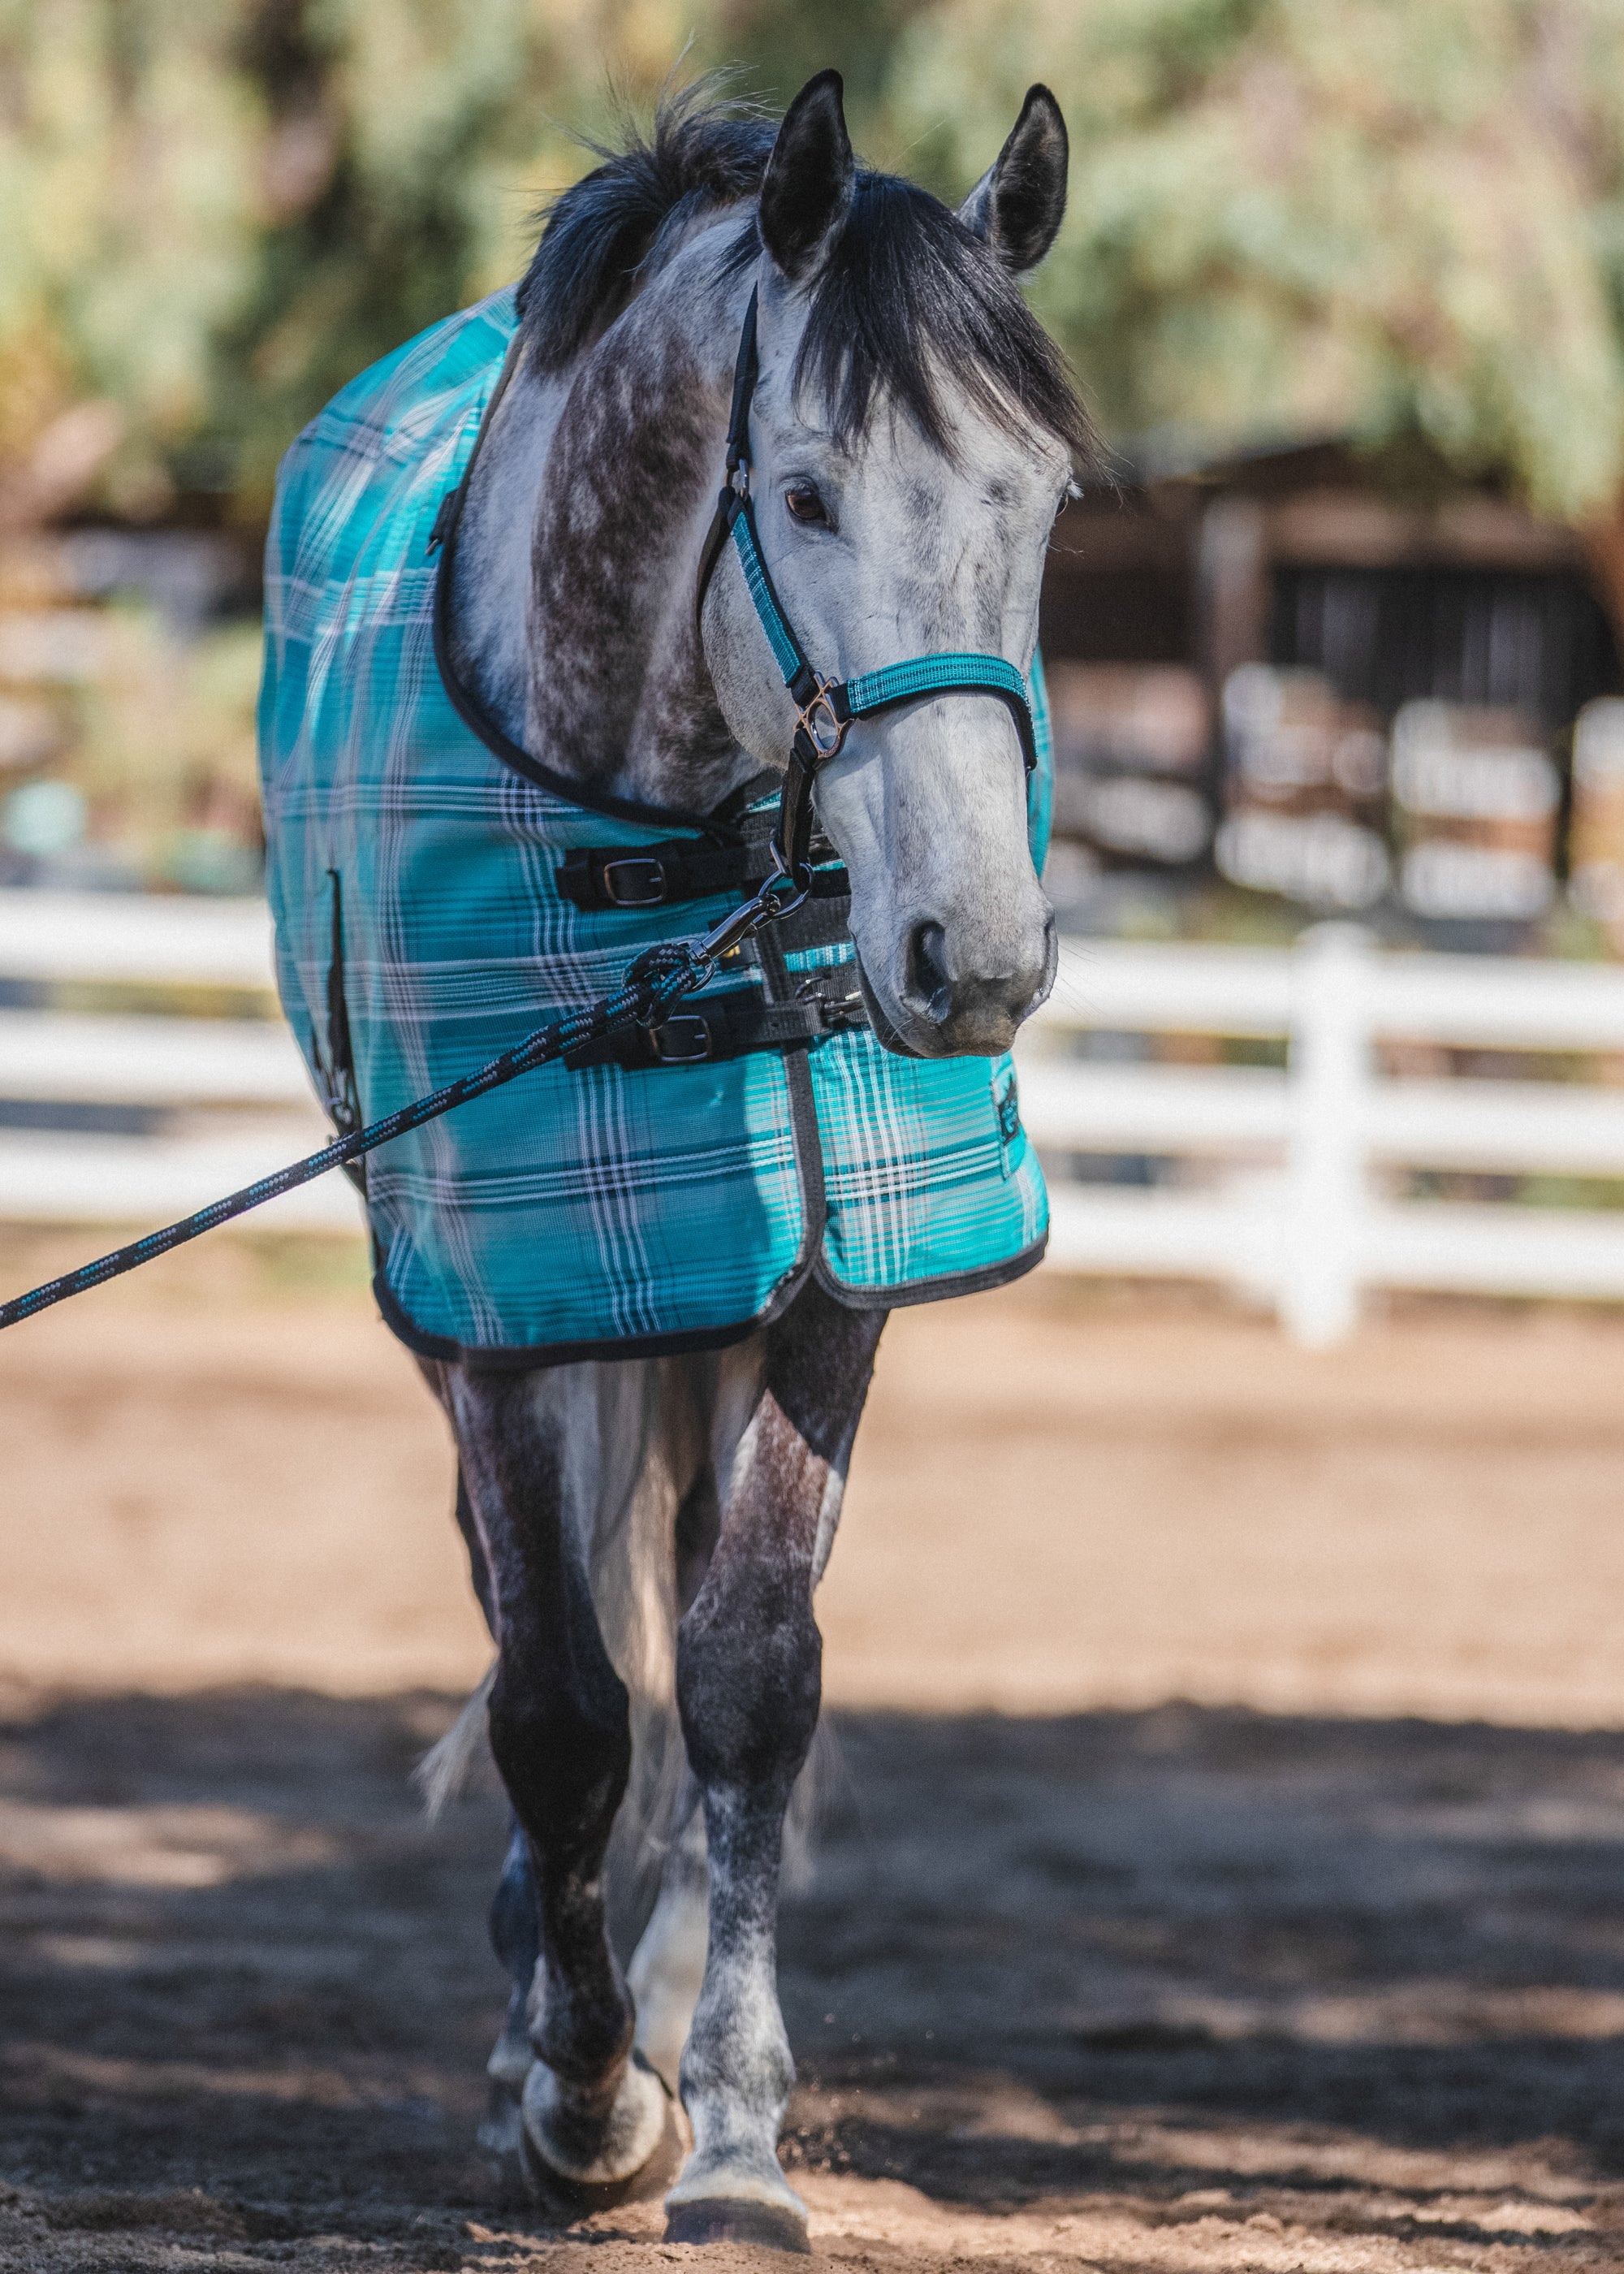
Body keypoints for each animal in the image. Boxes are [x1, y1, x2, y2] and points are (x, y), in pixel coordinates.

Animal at [258, 67, 1092, 2251]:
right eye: (800, 497)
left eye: (1044, 501)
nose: (970, 955)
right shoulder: (495, 1305)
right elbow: (555, 1701)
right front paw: (579, 2098)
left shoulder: (823, 1285)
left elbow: (744, 1674)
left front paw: (721, 2120)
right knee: (526, 1622)